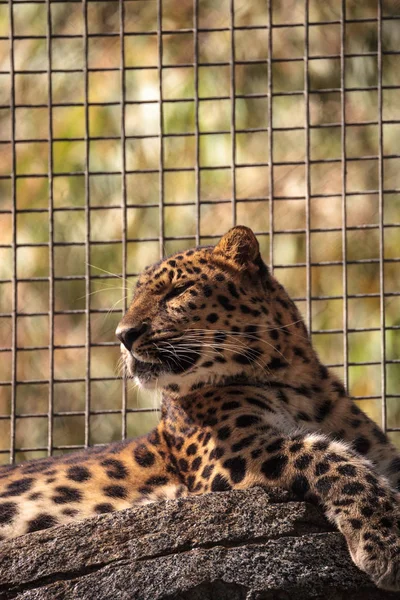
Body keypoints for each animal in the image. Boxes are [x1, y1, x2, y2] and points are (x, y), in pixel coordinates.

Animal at [0, 227, 400, 592]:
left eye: (177, 292)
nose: (122, 335)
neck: (300, 384)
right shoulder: (236, 453)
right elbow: (328, 455)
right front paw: (384, 541)